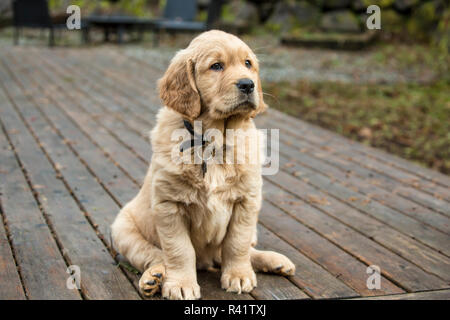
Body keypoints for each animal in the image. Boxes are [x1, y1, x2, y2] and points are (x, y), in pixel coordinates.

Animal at [111, 30, 296, 300]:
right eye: (216, 66)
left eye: (248, 64)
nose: (248, 84)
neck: (213, 141)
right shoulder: (169, 205)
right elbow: (179, 250)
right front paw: (180, 284)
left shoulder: (247, 202)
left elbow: (236, 244)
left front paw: (239, 275)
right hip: (122, 229)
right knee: (153, 255)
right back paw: (154, 278)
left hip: (253, 230)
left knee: (239, 250)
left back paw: (274, 261)